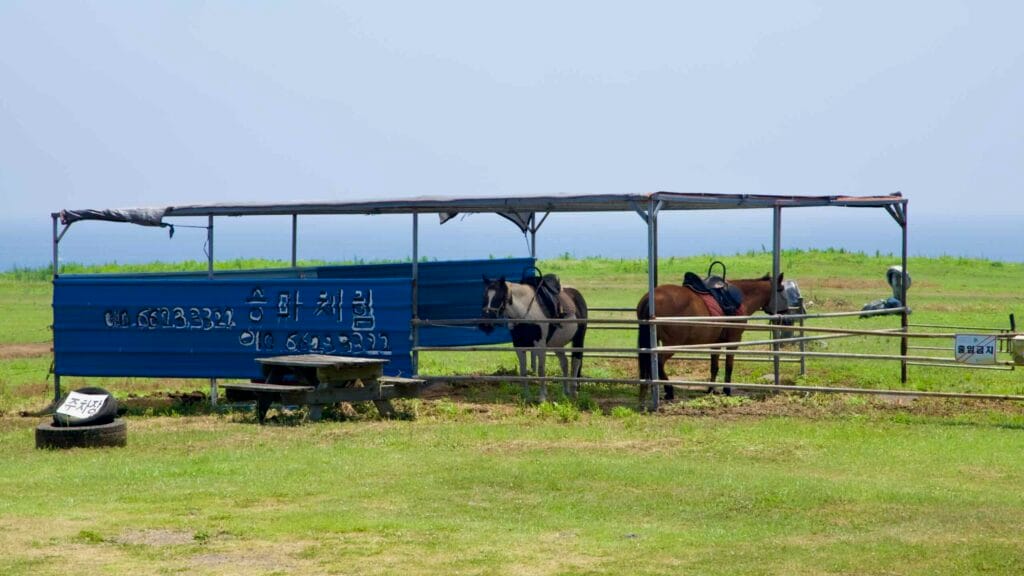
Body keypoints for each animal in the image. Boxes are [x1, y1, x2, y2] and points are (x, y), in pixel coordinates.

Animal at [636, 273, 787, 400]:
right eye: (781, 290)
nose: (785, 313)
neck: (742, 297)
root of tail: (651, 298)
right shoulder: (734, 341)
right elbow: (729, 365)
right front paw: (727, 390)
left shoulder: (716, 343)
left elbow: (714, 366)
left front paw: (711, 389)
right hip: (672, 344)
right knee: (659, 363)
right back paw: (669, 391)